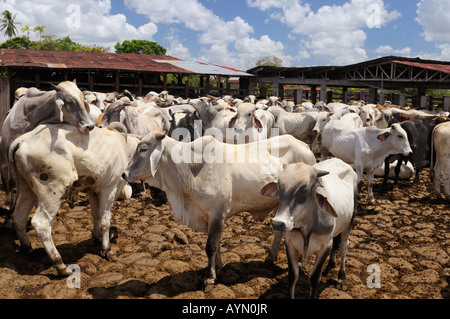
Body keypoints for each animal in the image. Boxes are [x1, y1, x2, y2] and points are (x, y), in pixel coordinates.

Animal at [260, 159, 358, 300]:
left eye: (303, 190)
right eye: (279, 186)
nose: (278, 223)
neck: (306, 227)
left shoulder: (325, 245)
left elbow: (314, 278)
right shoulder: (290, 242)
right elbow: (293, 275)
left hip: (349, 222)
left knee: (344, 246)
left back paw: (341, 278)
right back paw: (330, 265)